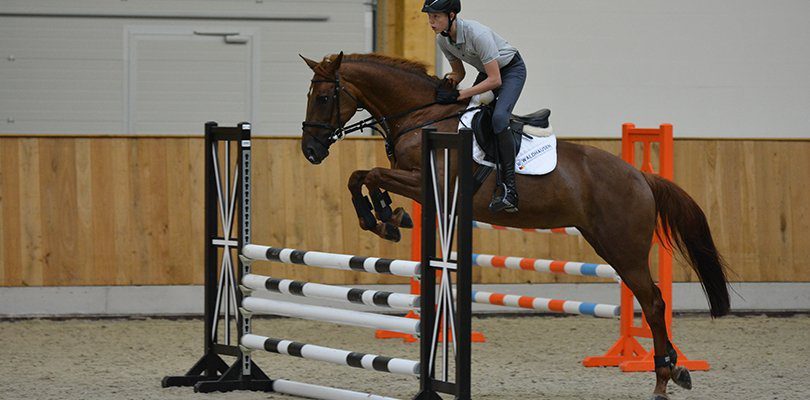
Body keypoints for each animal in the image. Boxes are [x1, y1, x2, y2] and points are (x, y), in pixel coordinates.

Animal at [300, 53, 728, 400]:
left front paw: (385, 218)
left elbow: (369, 174)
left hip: (624, 249)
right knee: (651, 301)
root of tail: (641, 177)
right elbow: (360, 176)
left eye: (323, 98)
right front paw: (386, 217)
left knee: (653, 302)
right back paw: (675, 371)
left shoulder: (424, 181)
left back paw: (664, 378)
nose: (310, 151)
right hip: (606, 244)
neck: (422, 116)